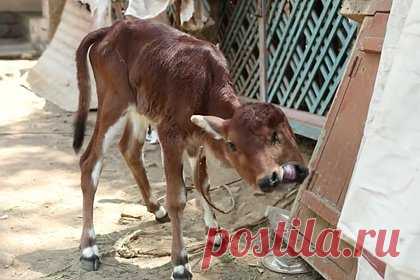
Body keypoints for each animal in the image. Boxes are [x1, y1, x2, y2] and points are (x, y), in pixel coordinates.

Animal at [73, 18, 308, 278]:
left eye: (275, 137)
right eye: (232, 144)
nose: (270, 178)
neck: (205, 85)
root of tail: (110, 29)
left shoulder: (197, 139)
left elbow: (202, 183)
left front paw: (214, 233)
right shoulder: (170, 135)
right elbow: (178, 198)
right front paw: (180, 263)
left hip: (139, 107)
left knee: (130, 148)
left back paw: (157, 209)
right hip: (113, 103)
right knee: (90, 161)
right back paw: (89, 249)